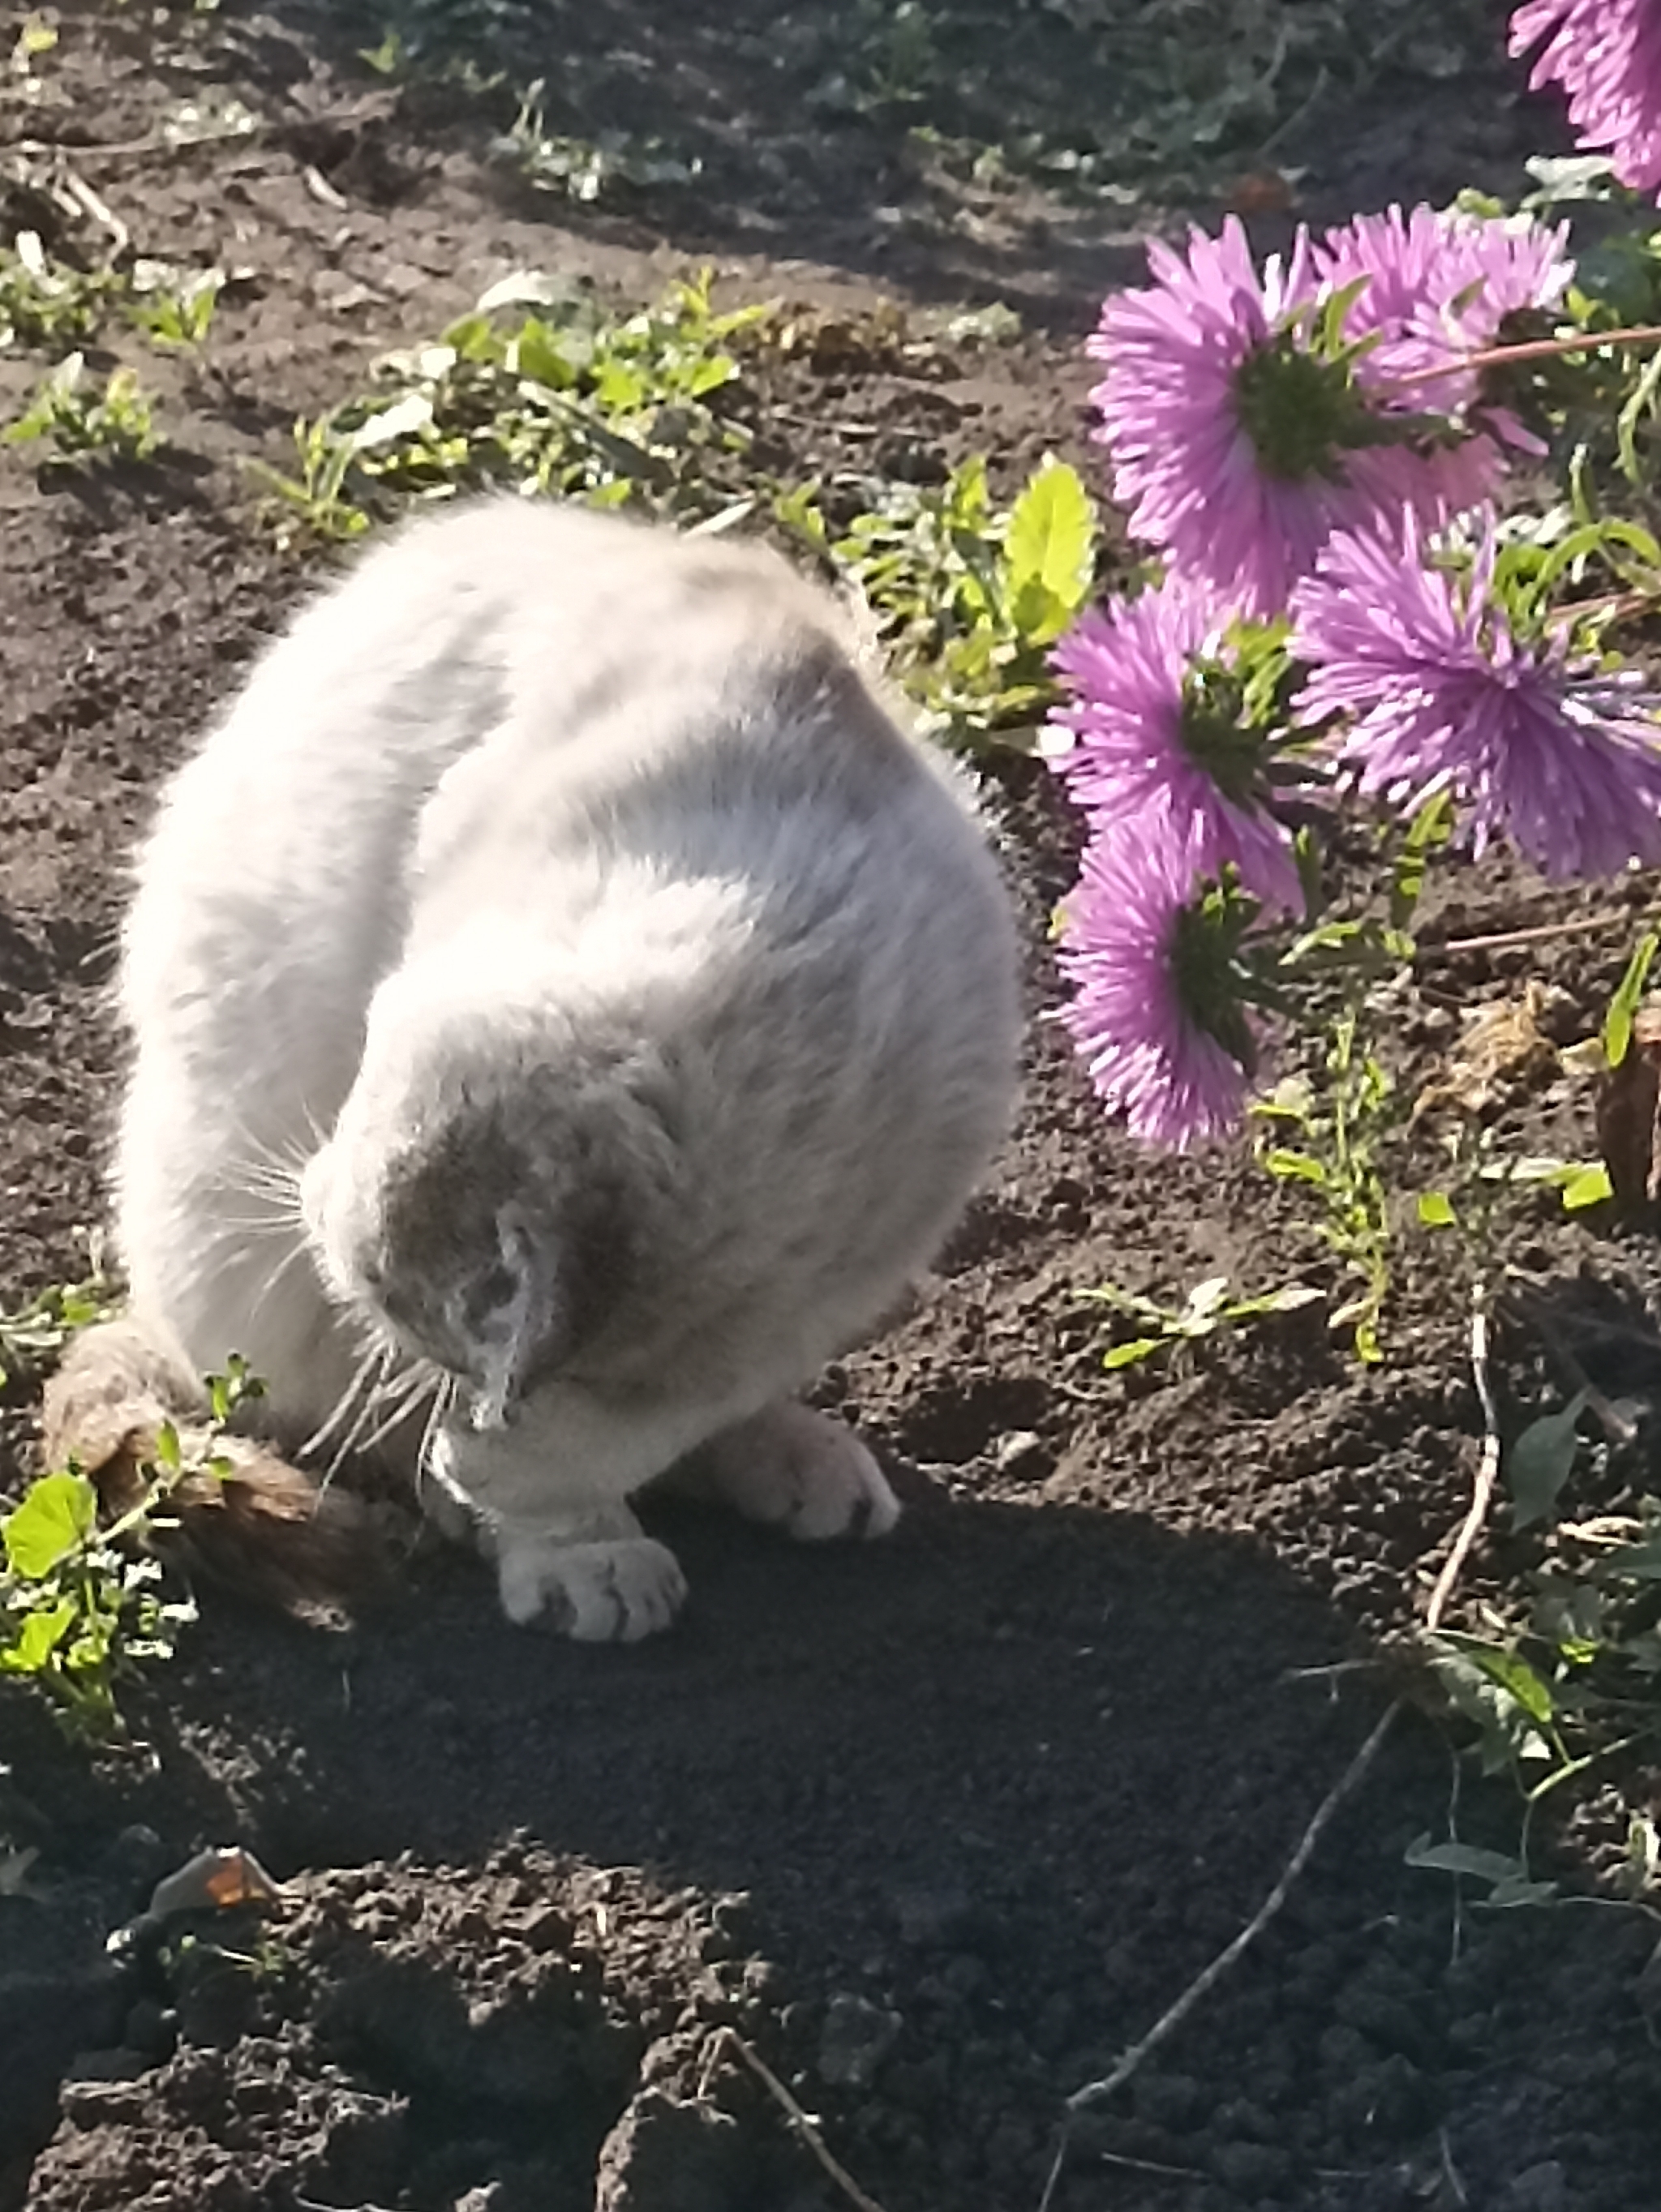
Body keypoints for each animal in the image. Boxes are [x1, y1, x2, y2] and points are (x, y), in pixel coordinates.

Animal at [62, 506, 1026, 1645]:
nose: (307, 1192)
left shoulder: (815, 1287)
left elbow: (650, 1415)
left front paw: (549, 1475)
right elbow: (490, 1431)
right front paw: (550, 1526)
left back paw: (781, 1458)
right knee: (352, 1418)